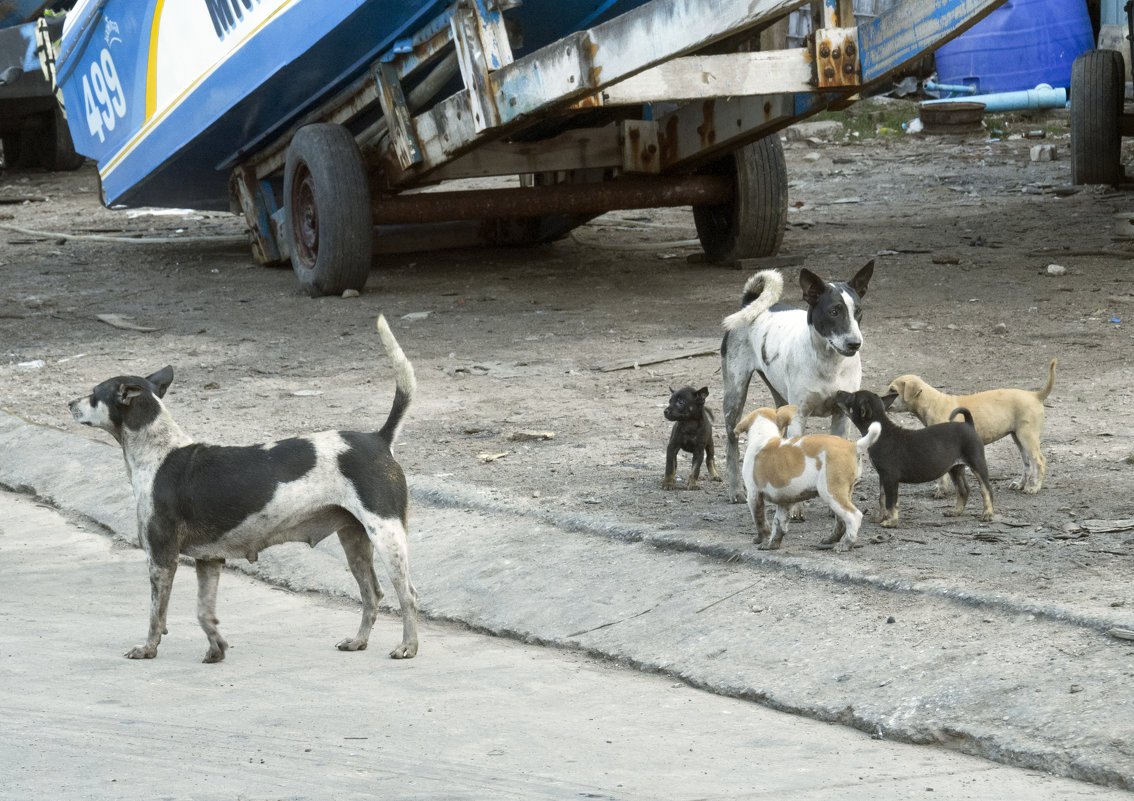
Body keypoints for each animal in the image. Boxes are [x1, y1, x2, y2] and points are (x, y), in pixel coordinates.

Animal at [69, 315, 421, 658]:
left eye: (93, 394)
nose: (70, 403)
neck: (159, 451)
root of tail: (379, 438)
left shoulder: (161, 558)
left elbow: (157, 613)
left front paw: (148, 648)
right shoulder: (209, 560)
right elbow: (204, 612)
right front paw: (216, 648)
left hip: (386, 535)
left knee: (408, 595)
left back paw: (408, 646)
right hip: (354, 539)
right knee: (372, 593)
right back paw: (358, 641)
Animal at [721, 262, 870, 499]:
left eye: (858, 311)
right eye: (834, 311)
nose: (855, 343)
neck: (829, 363)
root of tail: (749, 302)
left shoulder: (840, 417)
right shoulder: (799, 417)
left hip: (780, 401)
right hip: (734, 396)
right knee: (731, 442)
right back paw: (735, 488)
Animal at [730, 406, 879, 549]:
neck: (764, 437)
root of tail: (853, 446)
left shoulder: (754, 495)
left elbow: (760, 521)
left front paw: (761, 539)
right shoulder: (785, 501)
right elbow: (779, 524)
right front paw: (772, 544)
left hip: (831, 493)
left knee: (854, 517)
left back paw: (846, 544)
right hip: (843, 494)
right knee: (842, 521)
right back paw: (831, 540)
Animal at [834, 385, 993, 524]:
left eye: (852, 396)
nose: (837, 392)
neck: (881, 432)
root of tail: (968, 424)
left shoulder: (890, 477)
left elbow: (891, 501)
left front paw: (891, 522)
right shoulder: (883, 476)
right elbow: (882, 498)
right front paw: (880, 517)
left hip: (977, 462)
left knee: (986, 489)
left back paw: (988, 514)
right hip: (955, 468)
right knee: (963, 490)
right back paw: (956, 511)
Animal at [884, 356, 1052, 492]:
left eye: (892, 390)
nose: (880, 399)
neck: (932, 403)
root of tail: (1035, 395)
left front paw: (941, 490)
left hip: (1027, 436)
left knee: (1039, 461)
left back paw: (1033, 488)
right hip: (1018, 438)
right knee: (1027, 463)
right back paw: (1020, 484)